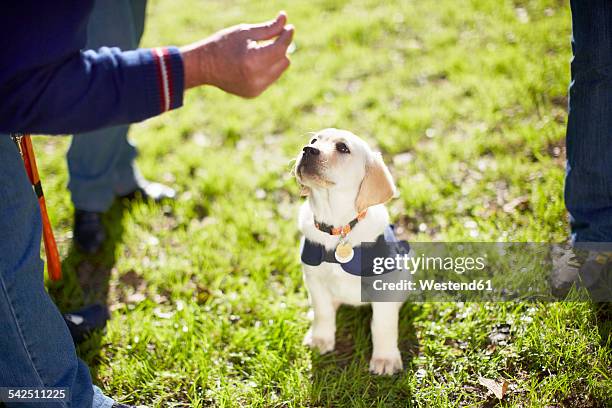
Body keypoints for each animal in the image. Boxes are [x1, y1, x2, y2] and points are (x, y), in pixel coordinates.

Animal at [296, 129, 404, 374]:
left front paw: (385, 358)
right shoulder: (313, 278)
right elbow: (323, 311)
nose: (307, 149)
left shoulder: (384, 286)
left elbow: (383, 324)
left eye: (343, 148)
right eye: (313, 140)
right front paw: (321, 339)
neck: (338, 226)